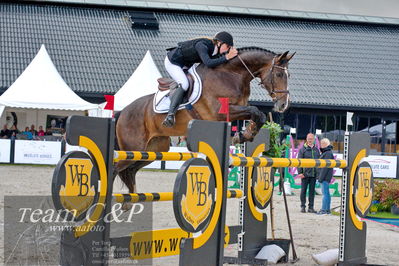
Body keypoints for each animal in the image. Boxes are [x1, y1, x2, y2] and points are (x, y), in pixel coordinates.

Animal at [114, 47, 296, 193]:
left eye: (289, 75)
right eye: (279, 74)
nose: (283, 105)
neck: (232, 75)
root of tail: (123, 112)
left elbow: (258, 115)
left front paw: (245, 135)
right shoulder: (219, 113)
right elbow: (254, 111)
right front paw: (243, 136)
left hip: (152, 150)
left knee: (130, 171)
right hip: (133, 148)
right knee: (116, 168)